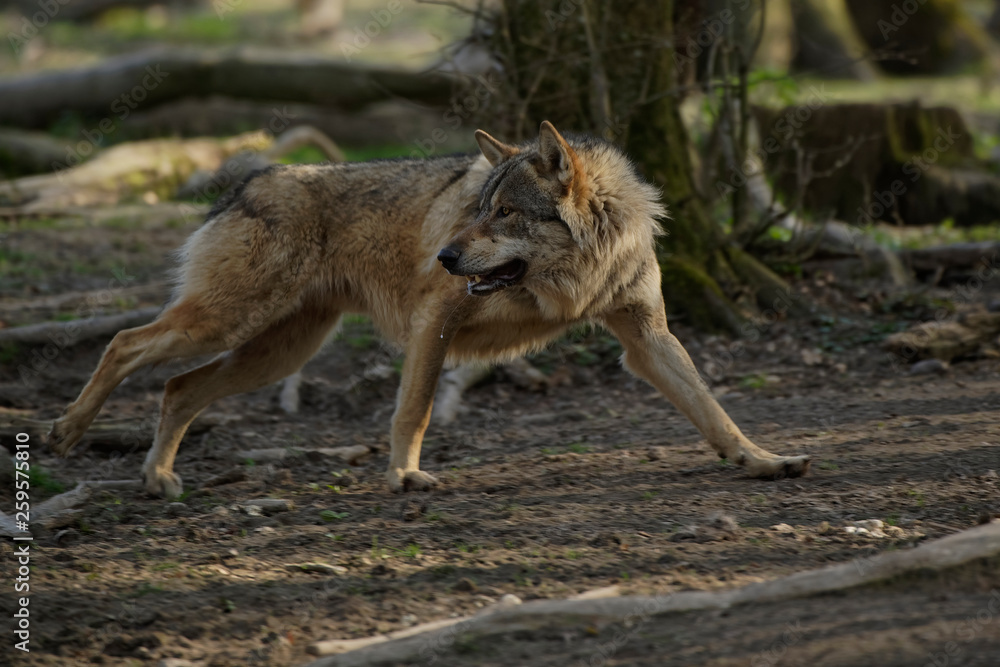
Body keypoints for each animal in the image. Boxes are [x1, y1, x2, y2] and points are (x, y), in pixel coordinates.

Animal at [48, 121, 810, 498]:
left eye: (503, 214)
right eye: (477, 210)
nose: (442, 256)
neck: (575, 273)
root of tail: (252, 179)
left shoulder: (645, 338)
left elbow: (713, 408)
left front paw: (762, 460)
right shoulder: (431, 324)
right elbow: (411, 410)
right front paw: (405, 476)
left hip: (274, 351)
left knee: (178, 387)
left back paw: (157, 477)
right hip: (228, 325)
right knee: (124, 342)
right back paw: (66, 431)